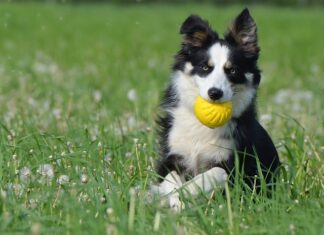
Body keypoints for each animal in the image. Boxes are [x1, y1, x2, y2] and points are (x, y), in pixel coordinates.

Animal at [153, 8, 280, 211]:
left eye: (233, 70)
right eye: (205, 67)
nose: (215, 93)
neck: (201, 126)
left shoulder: (235, 167)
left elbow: (213, 173)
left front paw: (186, 192)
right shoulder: (172, 156)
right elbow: (170, 179)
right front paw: (174, 201)